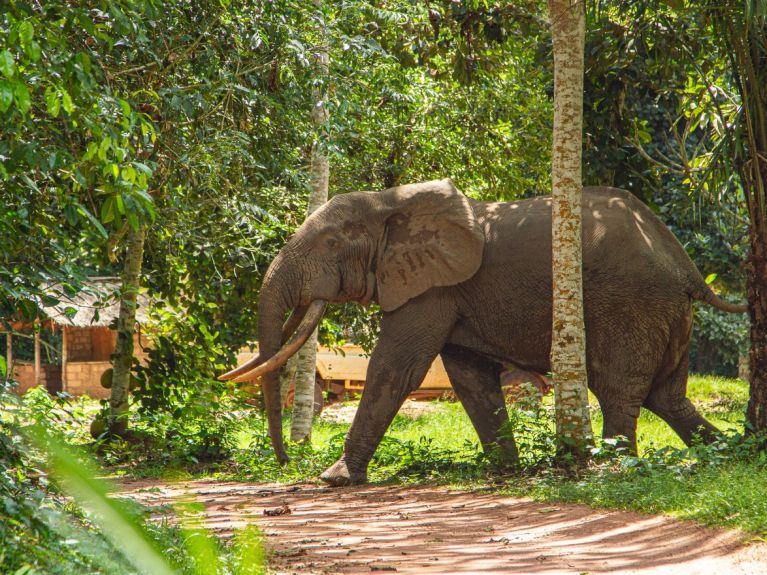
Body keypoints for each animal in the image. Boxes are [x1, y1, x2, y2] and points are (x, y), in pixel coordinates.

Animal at [219, 179, 748, 486]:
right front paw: (505, 471)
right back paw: (723, 453)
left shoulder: (432, 289)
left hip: (630, 305)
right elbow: (469, 377)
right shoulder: (449, 293)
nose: (285, 462)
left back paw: (613, 467)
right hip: (666, 312)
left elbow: (397, 367)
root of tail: (685, 265)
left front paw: (335, 479)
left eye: (330, 244)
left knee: (619, 389)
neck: (391, 202)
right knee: (667, 396)